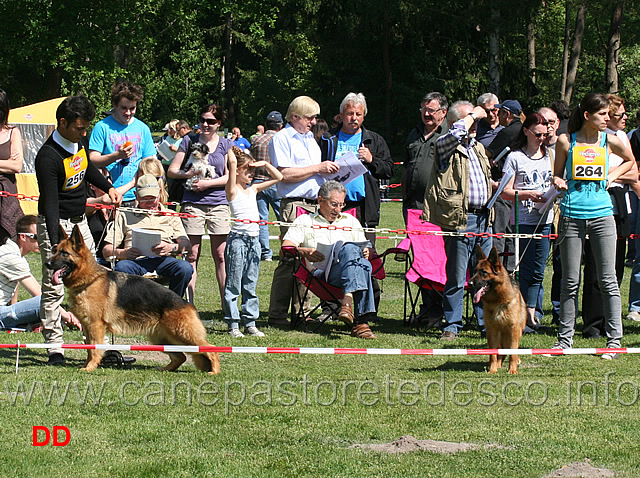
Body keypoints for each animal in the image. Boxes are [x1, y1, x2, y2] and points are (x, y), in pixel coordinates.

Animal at [45, 226, 220, 376]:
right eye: (54, 250)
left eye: (64, 253)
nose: (47, 263)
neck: (90, 279)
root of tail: (187, 303)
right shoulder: (87, 327)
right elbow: (89, 349)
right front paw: (88, 365)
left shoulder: (95, 326)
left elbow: (95, 350)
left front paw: (90, 367)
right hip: (162, 338)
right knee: (181, 357)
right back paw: (165, 369)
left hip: (183, 334)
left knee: (211, 348)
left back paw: (214, 371)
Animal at [470, 246, 524, 374]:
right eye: (475, 271)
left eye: (484, 272)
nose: (469, 283)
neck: (498, 301)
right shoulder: (492, 331)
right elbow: (493, 354)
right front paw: (492, 370)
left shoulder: (513, 330)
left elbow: (513, 353)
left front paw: (512, 370)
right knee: (500, 351)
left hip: (517, 332)